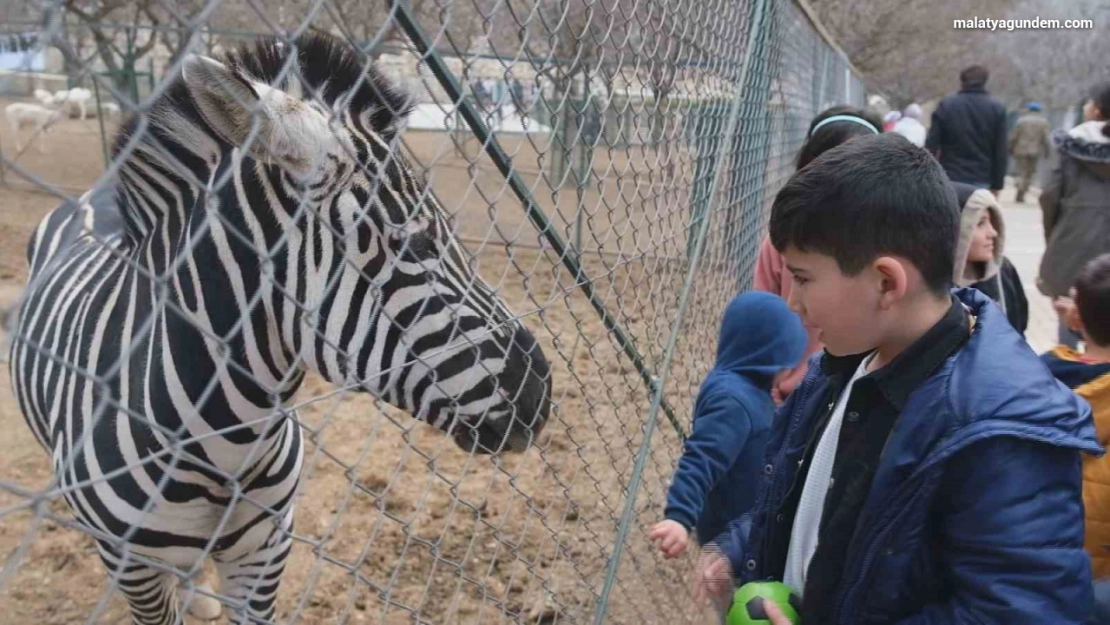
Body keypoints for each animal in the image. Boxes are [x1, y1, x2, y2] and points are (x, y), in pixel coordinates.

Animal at [5, 34, 550, 625]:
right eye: (415, 243)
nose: (542, 391)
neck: (227, 442)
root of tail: (94, 197)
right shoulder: (134, 567)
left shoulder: (267, 547)